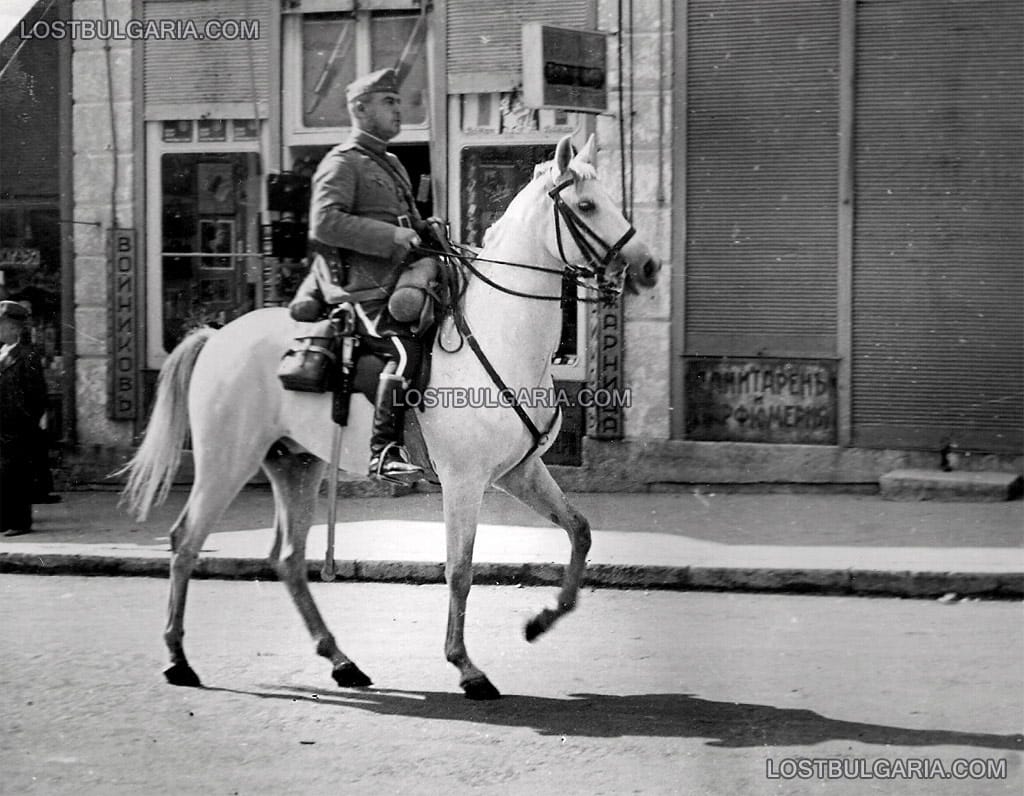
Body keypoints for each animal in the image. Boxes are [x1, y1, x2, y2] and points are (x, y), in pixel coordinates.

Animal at [119, 133, 659, 700]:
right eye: (586, 205)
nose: (647, 265)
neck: (502, 336)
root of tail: (217, 335)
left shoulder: (520, 471)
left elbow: (580, 531)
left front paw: (540, 621)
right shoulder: (463, 480)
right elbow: (460, 569)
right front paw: (466, 666)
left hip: (296, 465)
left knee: (288, 559)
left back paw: (341, 662)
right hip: (227, 463)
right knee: (185, 542)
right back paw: (178, 659)